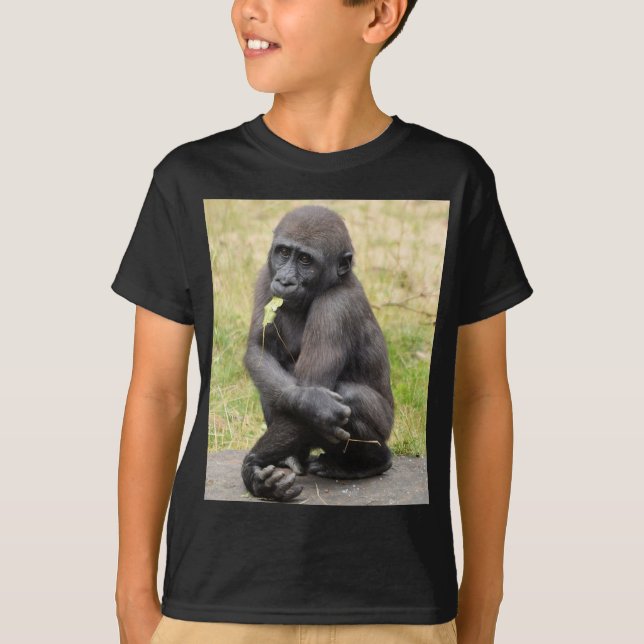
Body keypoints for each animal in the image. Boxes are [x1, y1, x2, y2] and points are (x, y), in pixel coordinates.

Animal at [241, 205, 395, 501]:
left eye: (305, 260)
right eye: (284, 252)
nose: (285, 280)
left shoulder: (335, 307)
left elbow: (316, 394)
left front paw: (252, 465)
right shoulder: (267, 276)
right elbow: (260, 351)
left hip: (387, 426)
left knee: (350, 396)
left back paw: (369, 463)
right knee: (277, 387)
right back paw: (292, 458)